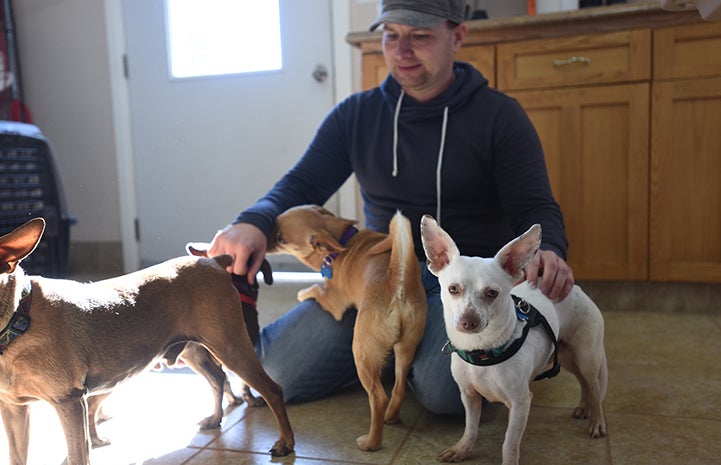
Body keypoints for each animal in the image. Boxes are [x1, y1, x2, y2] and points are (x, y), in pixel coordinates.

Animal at [0, 218, 292, 464]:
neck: (19, 320)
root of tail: (215, 262)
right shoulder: (14, 410)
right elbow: (17, 456)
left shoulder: (69, 402)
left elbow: (78, 455)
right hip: (196, 352)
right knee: (217, 379)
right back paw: (215, 419)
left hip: (230, 346)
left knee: (272, 390)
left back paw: (285, 442)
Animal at [270, 205, 428, 452]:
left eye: (280, 238)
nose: (266, 236)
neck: (342, 243)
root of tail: (397, 282)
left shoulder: (333, 304)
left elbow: (317, 290)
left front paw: (304, 293)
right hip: (406, 347)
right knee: (399, 387)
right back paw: (391, 417)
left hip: (362, 353)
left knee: (378, 398)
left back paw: (371, 442)